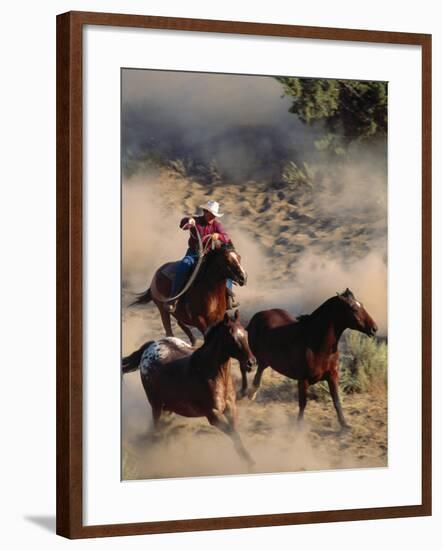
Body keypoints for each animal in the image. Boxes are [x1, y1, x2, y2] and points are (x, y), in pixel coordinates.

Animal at [123, 312, 256, 468]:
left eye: (245, 333)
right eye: (232, 337)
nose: (251, 363)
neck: (212, 373)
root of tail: (150, 346)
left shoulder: (231, 408)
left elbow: (235, 433)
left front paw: (247, 459)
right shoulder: (213, 415)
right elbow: (232, 433)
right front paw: (249, 462)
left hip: (168, 405)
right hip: (156, 404)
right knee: (157, 426)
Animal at [245, 288, 376, 432]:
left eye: (361, 304)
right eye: (353, 308)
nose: (374, 328)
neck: (316, 344)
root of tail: (258, 315)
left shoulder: (332, 376)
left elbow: (336, 401)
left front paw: (345, 424)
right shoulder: (303, 380)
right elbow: (303, 403)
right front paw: (299, 427)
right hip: (259, 357)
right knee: (256, 370)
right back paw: (250, 393)